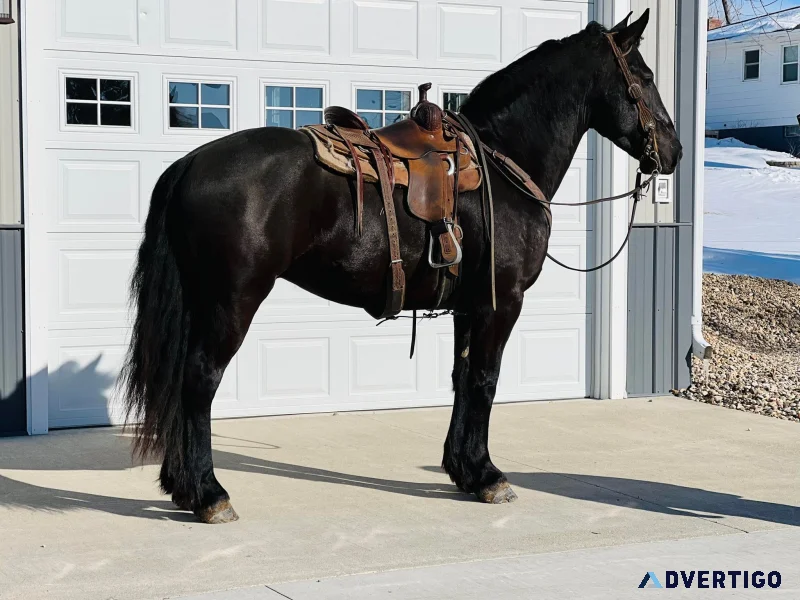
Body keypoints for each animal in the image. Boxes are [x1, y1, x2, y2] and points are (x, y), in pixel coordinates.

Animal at [120, 9, 682, 524]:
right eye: (645, 77)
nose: (674, 150)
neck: (501, 160)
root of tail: (190, 163)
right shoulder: (501, 302)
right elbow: (486, 380)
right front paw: (488, 476)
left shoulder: (468, 307)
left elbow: (462, 379)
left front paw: (463, 469)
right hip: (232, 301)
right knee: (199, 381)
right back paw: (208, 494)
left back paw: (182, 486)